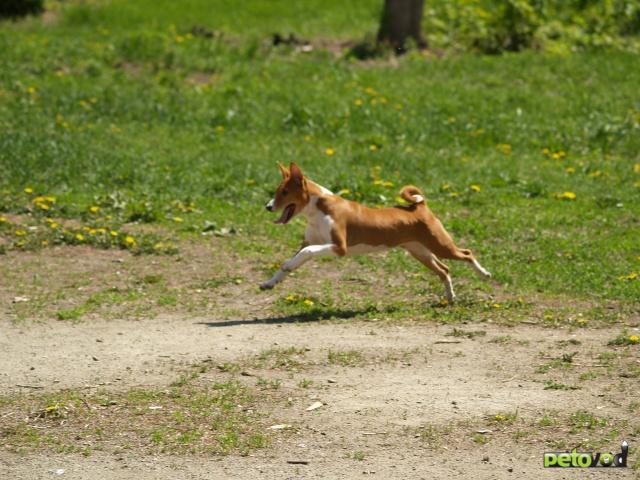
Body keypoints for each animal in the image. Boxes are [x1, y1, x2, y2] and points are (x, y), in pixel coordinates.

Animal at [260, 163, 490, 302]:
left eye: (284, 192)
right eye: (277, 191)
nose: (268, 207)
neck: (318, 210)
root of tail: (419, 206)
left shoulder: (339, 247)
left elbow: (305, 253)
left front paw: (288, 267)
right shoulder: (309, 242)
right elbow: (292, 260)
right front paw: (271, 282)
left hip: (440, 245)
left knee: (467, 253)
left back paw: (484, 274)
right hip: (420, 251)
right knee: (444, 270)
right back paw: (450, 297)